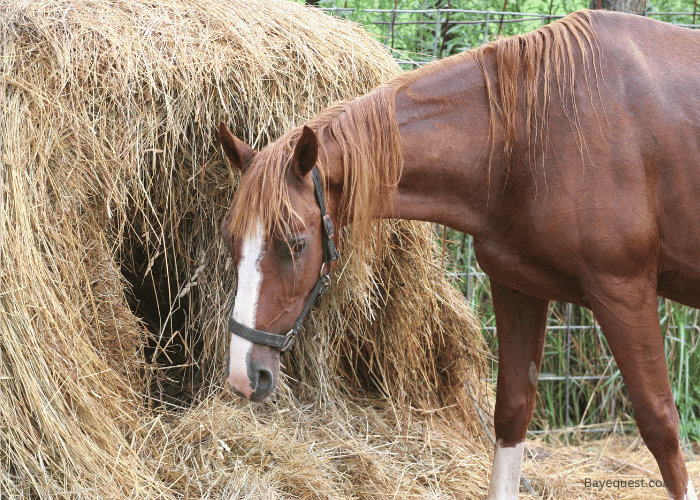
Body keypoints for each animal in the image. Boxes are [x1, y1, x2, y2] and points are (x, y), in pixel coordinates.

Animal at [217, 8, 696, 500]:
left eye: (295, 244)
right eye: (231, 241)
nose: (243, 374)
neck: (536, 135)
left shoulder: (624, 292)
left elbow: (661, 425)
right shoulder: (518, 288)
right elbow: (512, 413)